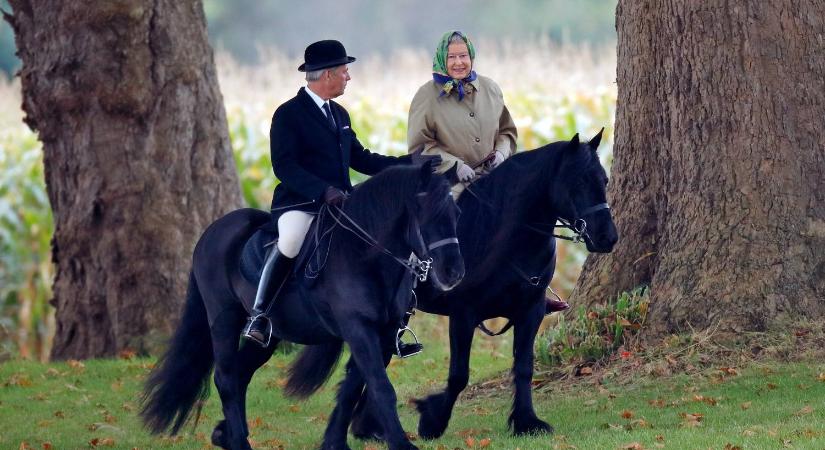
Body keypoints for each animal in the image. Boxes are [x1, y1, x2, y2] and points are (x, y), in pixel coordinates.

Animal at [140, 163, 464, 450]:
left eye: (456, 213)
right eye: (427, 213)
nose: (454, 273)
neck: (364, 255)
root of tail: (212, 232)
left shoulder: (383, 334)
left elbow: (352, 388)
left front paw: (334, 443)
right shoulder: (358, 329)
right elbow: (380, 387)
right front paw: (401, 444)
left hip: (269, 336)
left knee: (241, 373)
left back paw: (226, 436)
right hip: (224, 318)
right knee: (227, 377)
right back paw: (240, 443)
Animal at [342, 130, 616, 440]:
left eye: (604, 180)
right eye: (578, 181)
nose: (607, 237)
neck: (503, 237)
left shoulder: (530, 311)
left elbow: (524, 366)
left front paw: (527, 421)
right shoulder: (464, 314)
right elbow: (459, 375)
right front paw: (432, 420)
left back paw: (367, 425)